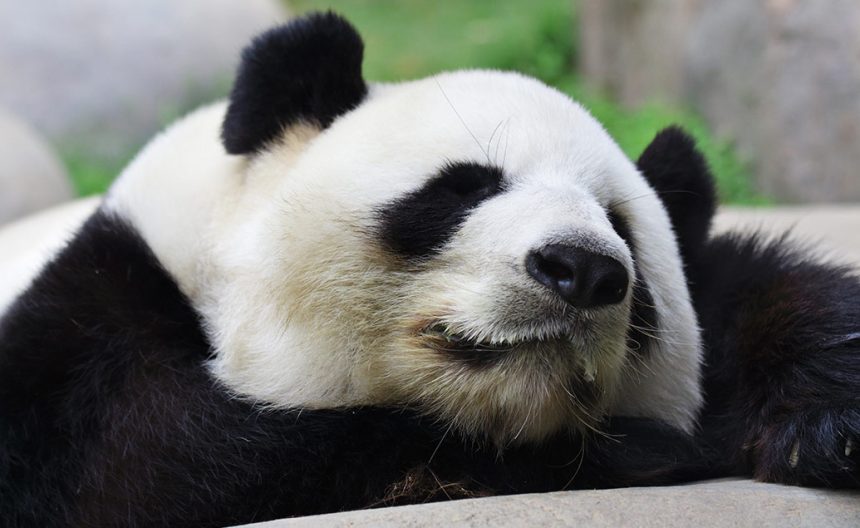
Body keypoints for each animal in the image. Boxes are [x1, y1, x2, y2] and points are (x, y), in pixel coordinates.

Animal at [1, 11, 857, 527]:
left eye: (621, 230)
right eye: (465, 186)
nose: (581, 269)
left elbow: (760, 291)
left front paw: (825, 421)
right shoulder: (93, 327)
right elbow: (153, 465)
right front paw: (644, 449)